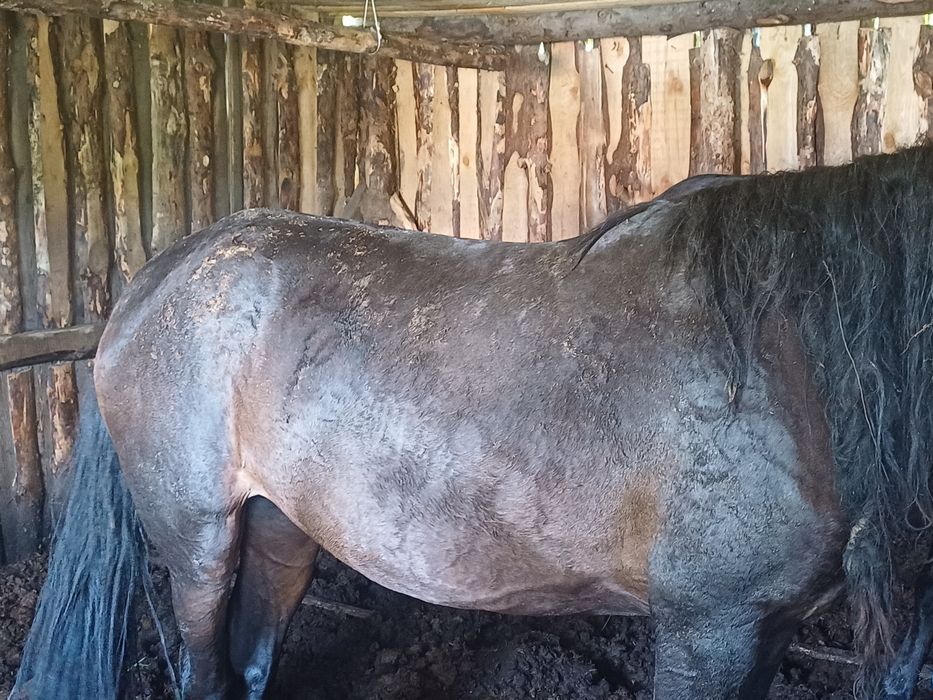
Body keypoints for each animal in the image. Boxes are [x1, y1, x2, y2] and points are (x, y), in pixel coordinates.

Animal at [12, 145, 933, 699]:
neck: (785, 364)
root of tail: (165, 271)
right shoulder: (710, 627)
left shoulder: (764, 628)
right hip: (197, 536)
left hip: (280, 528)